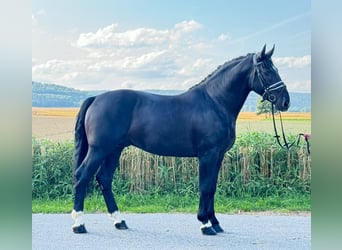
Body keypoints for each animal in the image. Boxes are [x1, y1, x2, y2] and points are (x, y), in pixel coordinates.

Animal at [71, 46, 290, 235]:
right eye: (267, 70)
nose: (285, 101)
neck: (214, 102)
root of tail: (96, 98)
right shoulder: (207, 155)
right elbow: (205, 187)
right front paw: (205, 224)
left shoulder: (218, 156)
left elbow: (212, 188)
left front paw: (215, 223)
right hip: (99, 149)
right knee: (82, 175)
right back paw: (79, 224)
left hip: (114, 149)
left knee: (104, 179)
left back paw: (119, 221)